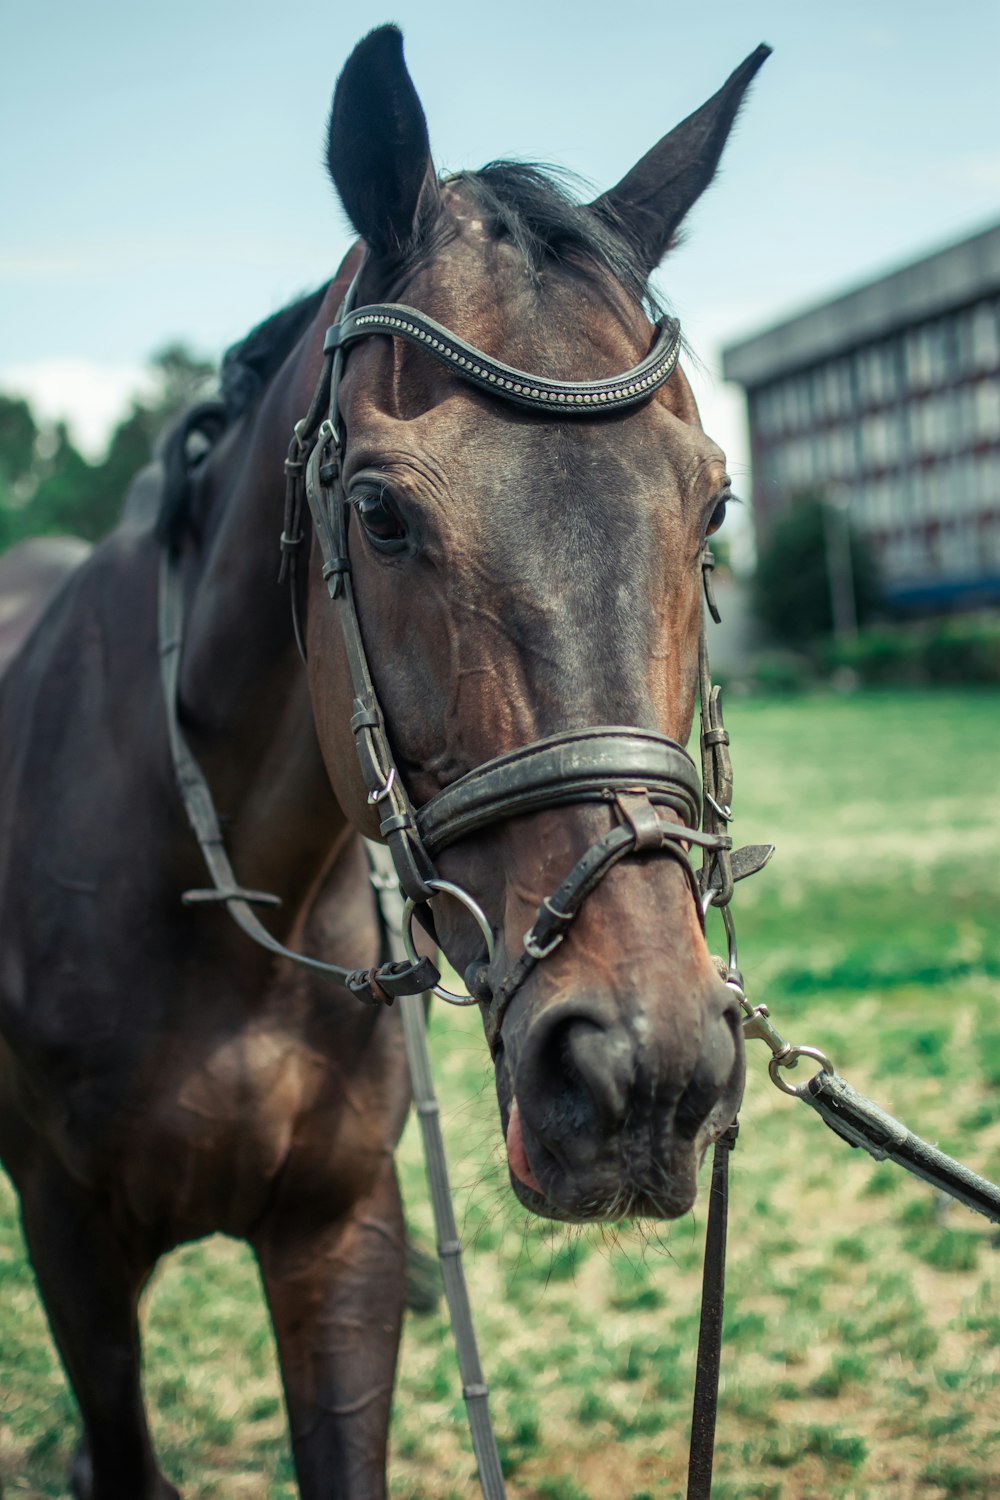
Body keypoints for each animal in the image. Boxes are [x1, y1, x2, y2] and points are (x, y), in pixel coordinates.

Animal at [0, 23, 767, 1500]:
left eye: (711, 505)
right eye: (380, 513)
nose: (645, 1069)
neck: (212, 896)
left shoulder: (338, 1239)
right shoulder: (72, 1245)